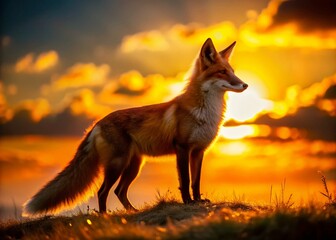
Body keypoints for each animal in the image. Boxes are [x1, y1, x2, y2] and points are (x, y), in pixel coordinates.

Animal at [23, 38, 247, 216]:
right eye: (222, 72)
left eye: (233, 72)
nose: (245, 85)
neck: (205, 112)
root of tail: (97, 123)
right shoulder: (182, 148)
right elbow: (184, 182)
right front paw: (188, 203)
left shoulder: (199, 151)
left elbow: (195, 181)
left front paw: (198, 201)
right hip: (117, 164)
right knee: (103, 191)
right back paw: (104, 216)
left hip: (133, 166)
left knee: (119, 191)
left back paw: (132, 211)